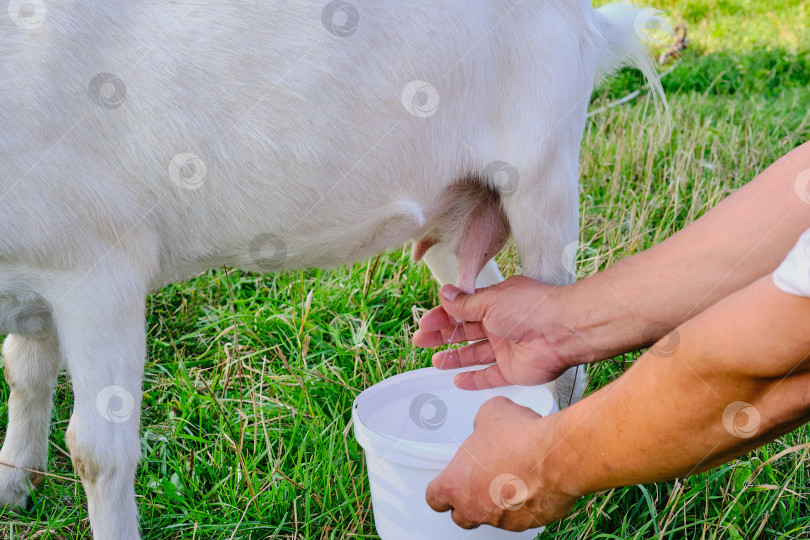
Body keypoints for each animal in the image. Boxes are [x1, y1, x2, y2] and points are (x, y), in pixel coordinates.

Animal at [0, 2, 664, 536]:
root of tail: (590, 23)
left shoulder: (98, 269)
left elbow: (98, 451)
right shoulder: (36, 282)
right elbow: (25, 374)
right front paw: (14, 484)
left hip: (543, 175)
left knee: (563, 352)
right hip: (458, 214)